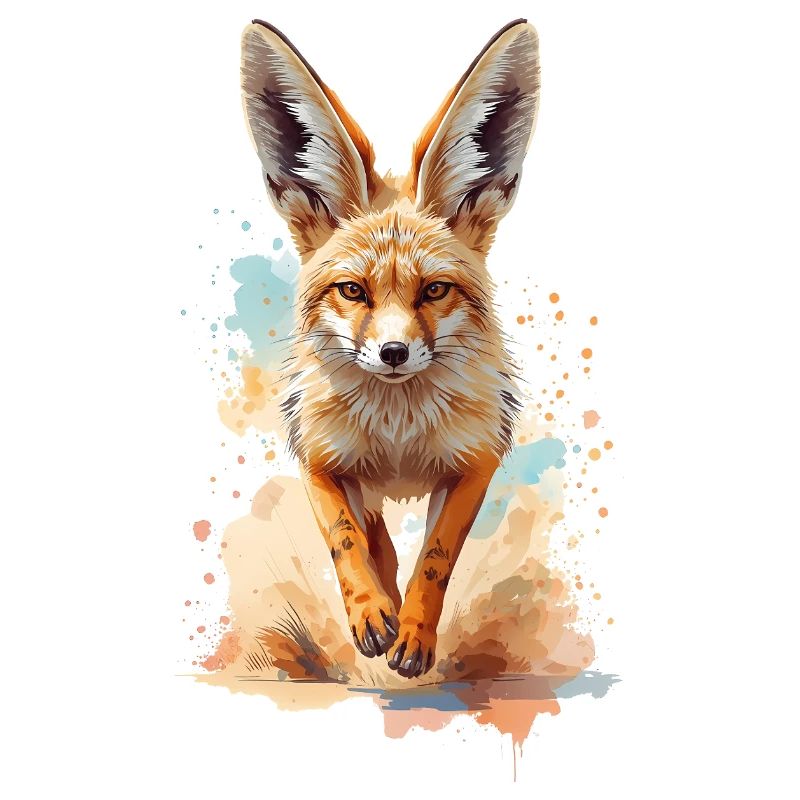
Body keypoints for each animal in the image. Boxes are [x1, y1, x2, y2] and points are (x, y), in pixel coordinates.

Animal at [240, 18, 540, 678]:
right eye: (354, 290)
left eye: (434, 290)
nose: (395, 353)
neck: (398, 434)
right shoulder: (318, 456)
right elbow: (348, 541)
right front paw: (373, 615)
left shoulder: (476, 460)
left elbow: (435, 557)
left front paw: (415, 635)